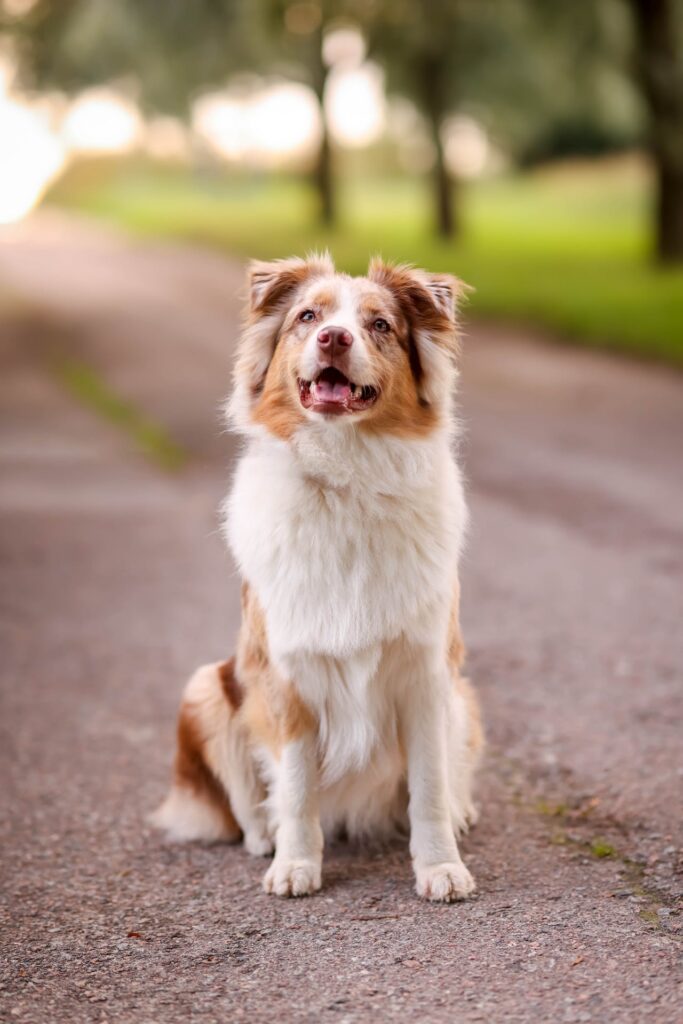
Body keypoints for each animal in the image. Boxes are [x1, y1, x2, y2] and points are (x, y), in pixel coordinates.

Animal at [152, 251, 483, 901]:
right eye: (308, 316)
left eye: (380, 325)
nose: (334, 337)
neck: (346, 476)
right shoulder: (288, 674)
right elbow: (297, 786)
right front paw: (295, 864)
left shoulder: (427, 675)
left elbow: (430, 788)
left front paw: (441, 867)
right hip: (206, 687)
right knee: (247, 801)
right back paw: (264, 838)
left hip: (464, 699)